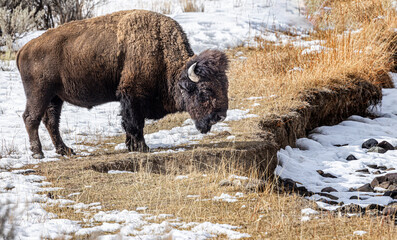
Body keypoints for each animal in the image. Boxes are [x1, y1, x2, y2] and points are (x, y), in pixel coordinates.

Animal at [17, 9, 229, 159]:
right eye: (204, 91)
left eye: (224, 87)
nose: (219, 116)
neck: (161, 53)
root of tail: (24, 49)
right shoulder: (132, 95)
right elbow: (134, 123)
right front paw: (142, 148)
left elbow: (130, 124)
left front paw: (132, 146)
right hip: (39, 94)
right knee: (31, 118)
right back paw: (38, 153)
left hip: (55, 97)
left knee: (51, 121)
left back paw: (65, 150)